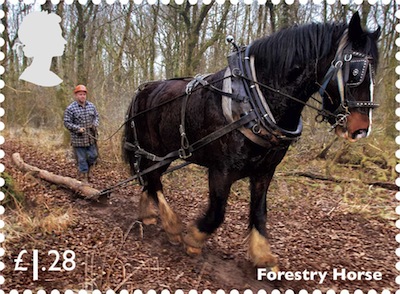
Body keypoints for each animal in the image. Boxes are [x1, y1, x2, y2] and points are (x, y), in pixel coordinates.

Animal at [123, 12, 380, 268]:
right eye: (355, 73)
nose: (361, 129)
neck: (254, 100)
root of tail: (143, 89)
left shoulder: (264, 171)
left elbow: (259, 211)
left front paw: (262, 255)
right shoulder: (221, 170)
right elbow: (217, 213)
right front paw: (194, 239)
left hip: (163, 153)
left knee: (150, 178)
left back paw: (148, 214)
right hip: (154, 149)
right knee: (154, 180)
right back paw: (172, 226)